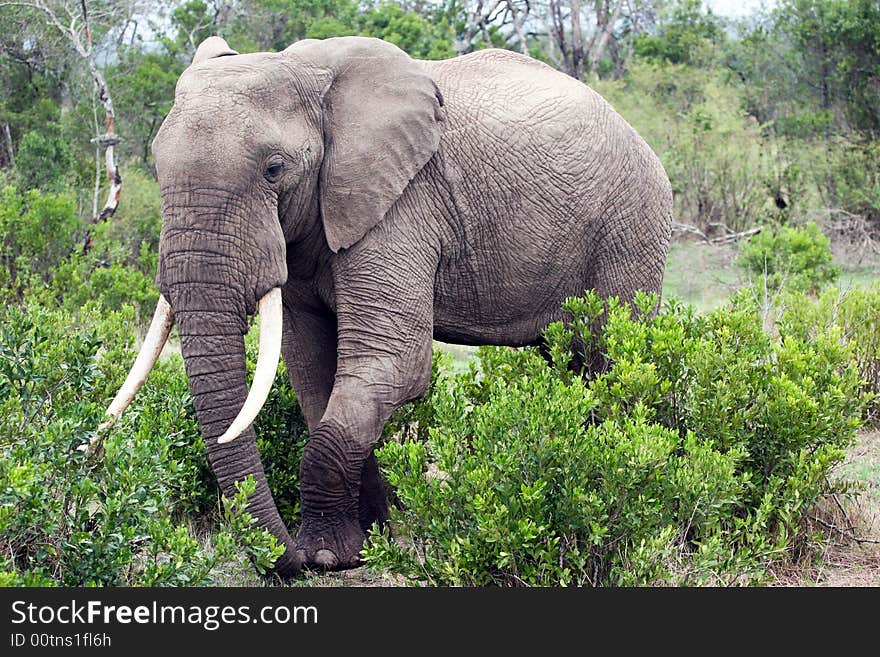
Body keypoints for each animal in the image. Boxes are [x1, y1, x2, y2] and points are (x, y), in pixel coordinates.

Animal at [101, 33, 668, 576]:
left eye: (274, 169)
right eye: (156, 166)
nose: (288, 563)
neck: (307, 73)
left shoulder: (401, 204)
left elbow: (392, 363)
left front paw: (326, 556)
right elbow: (314, 373)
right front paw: (365, 545)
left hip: (630, 228)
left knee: (603, 359)